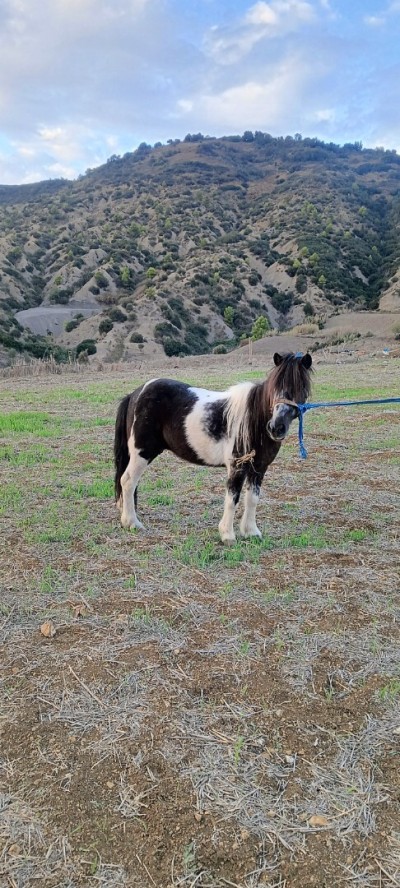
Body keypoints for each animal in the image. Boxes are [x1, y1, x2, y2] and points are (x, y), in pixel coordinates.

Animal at [114, 352, 312, 543]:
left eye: (302, 387)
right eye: (274, 386)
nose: (276, 427)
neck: (254, 421)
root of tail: (136, 394)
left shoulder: (259, 468)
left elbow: (252, 499)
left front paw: (251, 532)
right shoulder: (237, 467)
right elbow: (233, 498)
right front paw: (227, 535)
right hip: (142, 453)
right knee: (128, 481)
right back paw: (132, 523)